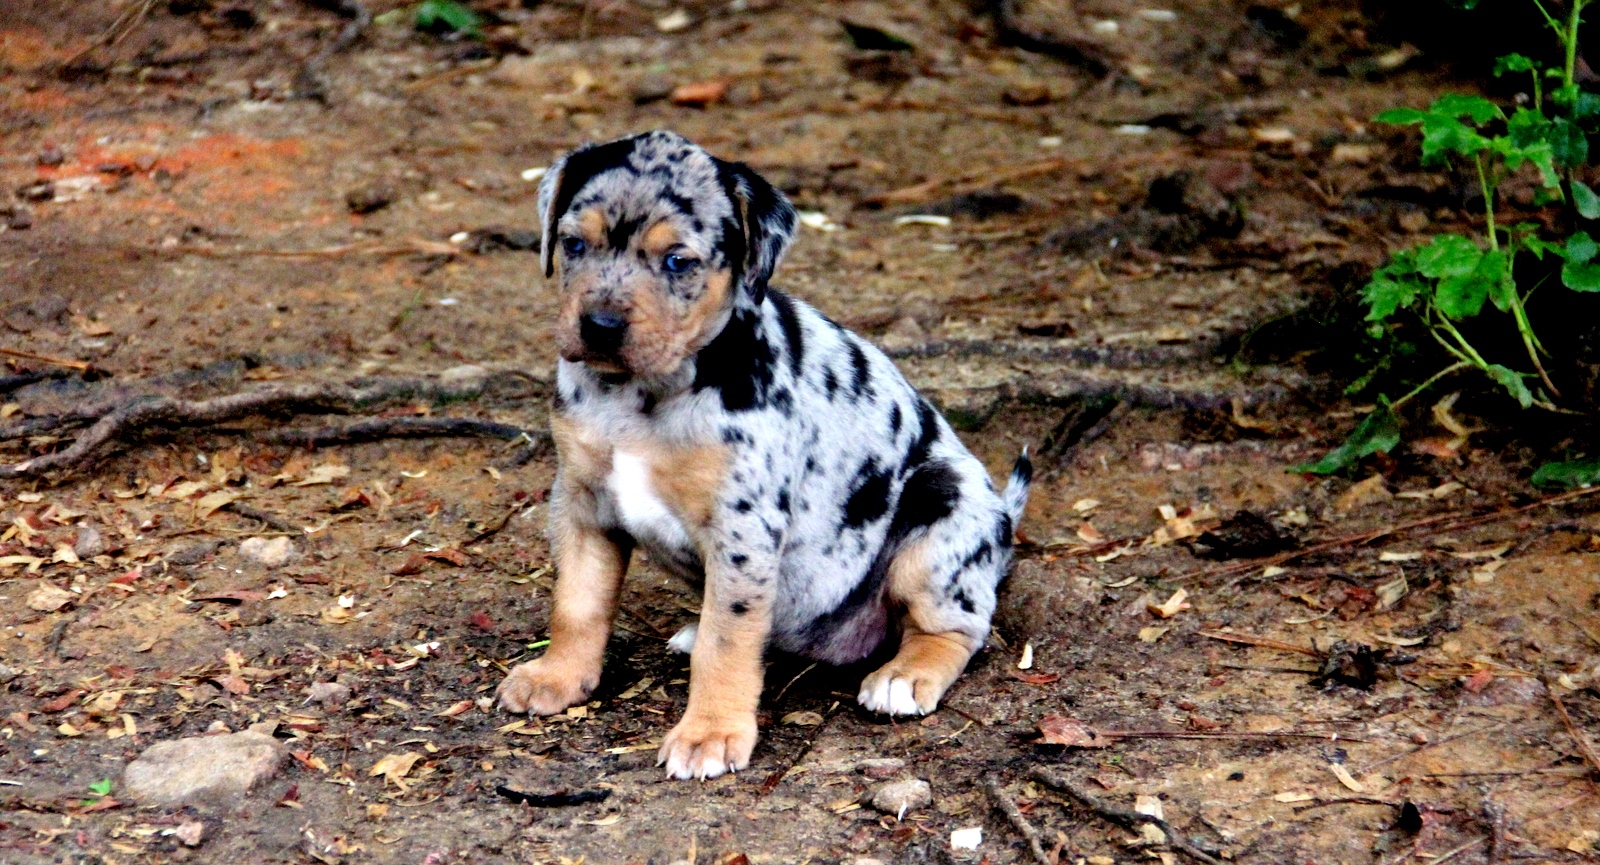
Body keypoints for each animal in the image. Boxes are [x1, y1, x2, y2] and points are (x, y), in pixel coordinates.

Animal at [492, 129, 1030, 783]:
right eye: (573, 243)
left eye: (678, 261)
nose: (598, 325)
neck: (639, 396)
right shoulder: (581, 501)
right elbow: (577, 602)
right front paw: (558, 675)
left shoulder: (742, 526)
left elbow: (728, 642)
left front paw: (709, 732)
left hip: (945, 502)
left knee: (959, 625)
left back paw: (905, 674)